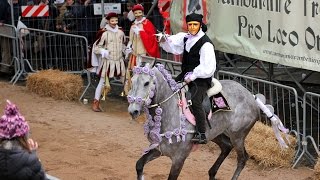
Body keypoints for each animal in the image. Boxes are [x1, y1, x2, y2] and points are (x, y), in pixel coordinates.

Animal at [128, 62, 290, 179]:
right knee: (226, 147)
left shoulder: (179, 158)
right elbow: (138, 165)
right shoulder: (158, 149)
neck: (171, 112)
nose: (133, 110)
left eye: (146, 83)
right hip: (216, 134)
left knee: (243, 158)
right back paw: (212, 173)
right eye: (132, 80)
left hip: (238, 135)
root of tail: (252, 96)